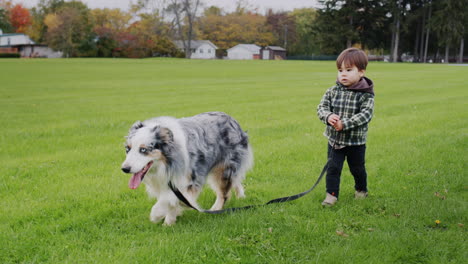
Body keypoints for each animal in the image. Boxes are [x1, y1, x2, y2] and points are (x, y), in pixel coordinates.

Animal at [119, 111, 252, 225]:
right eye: (128, 149)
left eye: (143, 149)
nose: (125, 169)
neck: (166, 163)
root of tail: (232, 120)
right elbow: (171, 201)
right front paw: (169, 223)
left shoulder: (190, 180)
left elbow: (168, 199)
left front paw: (157, 214)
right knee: (235, 180)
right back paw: (240, 196)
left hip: (224, 168)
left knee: (224, 193)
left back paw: (215, 209)